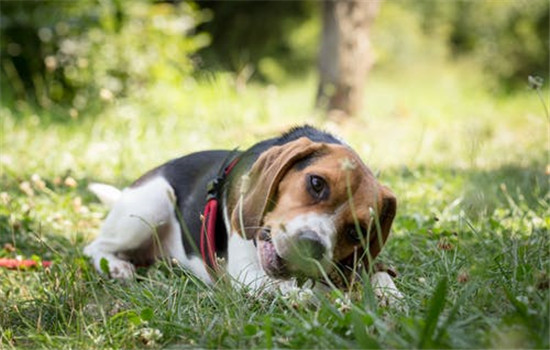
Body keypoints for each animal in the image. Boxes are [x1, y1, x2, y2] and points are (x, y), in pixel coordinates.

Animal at [85, 126, 402, 300]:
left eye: (357, 232)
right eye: (316, 183)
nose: (311, 246)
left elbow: (377, 274)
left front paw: (389, 296)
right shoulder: (246, 273)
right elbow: (306, 292)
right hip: (151, 205)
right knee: (94, 247)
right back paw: (116, 266)